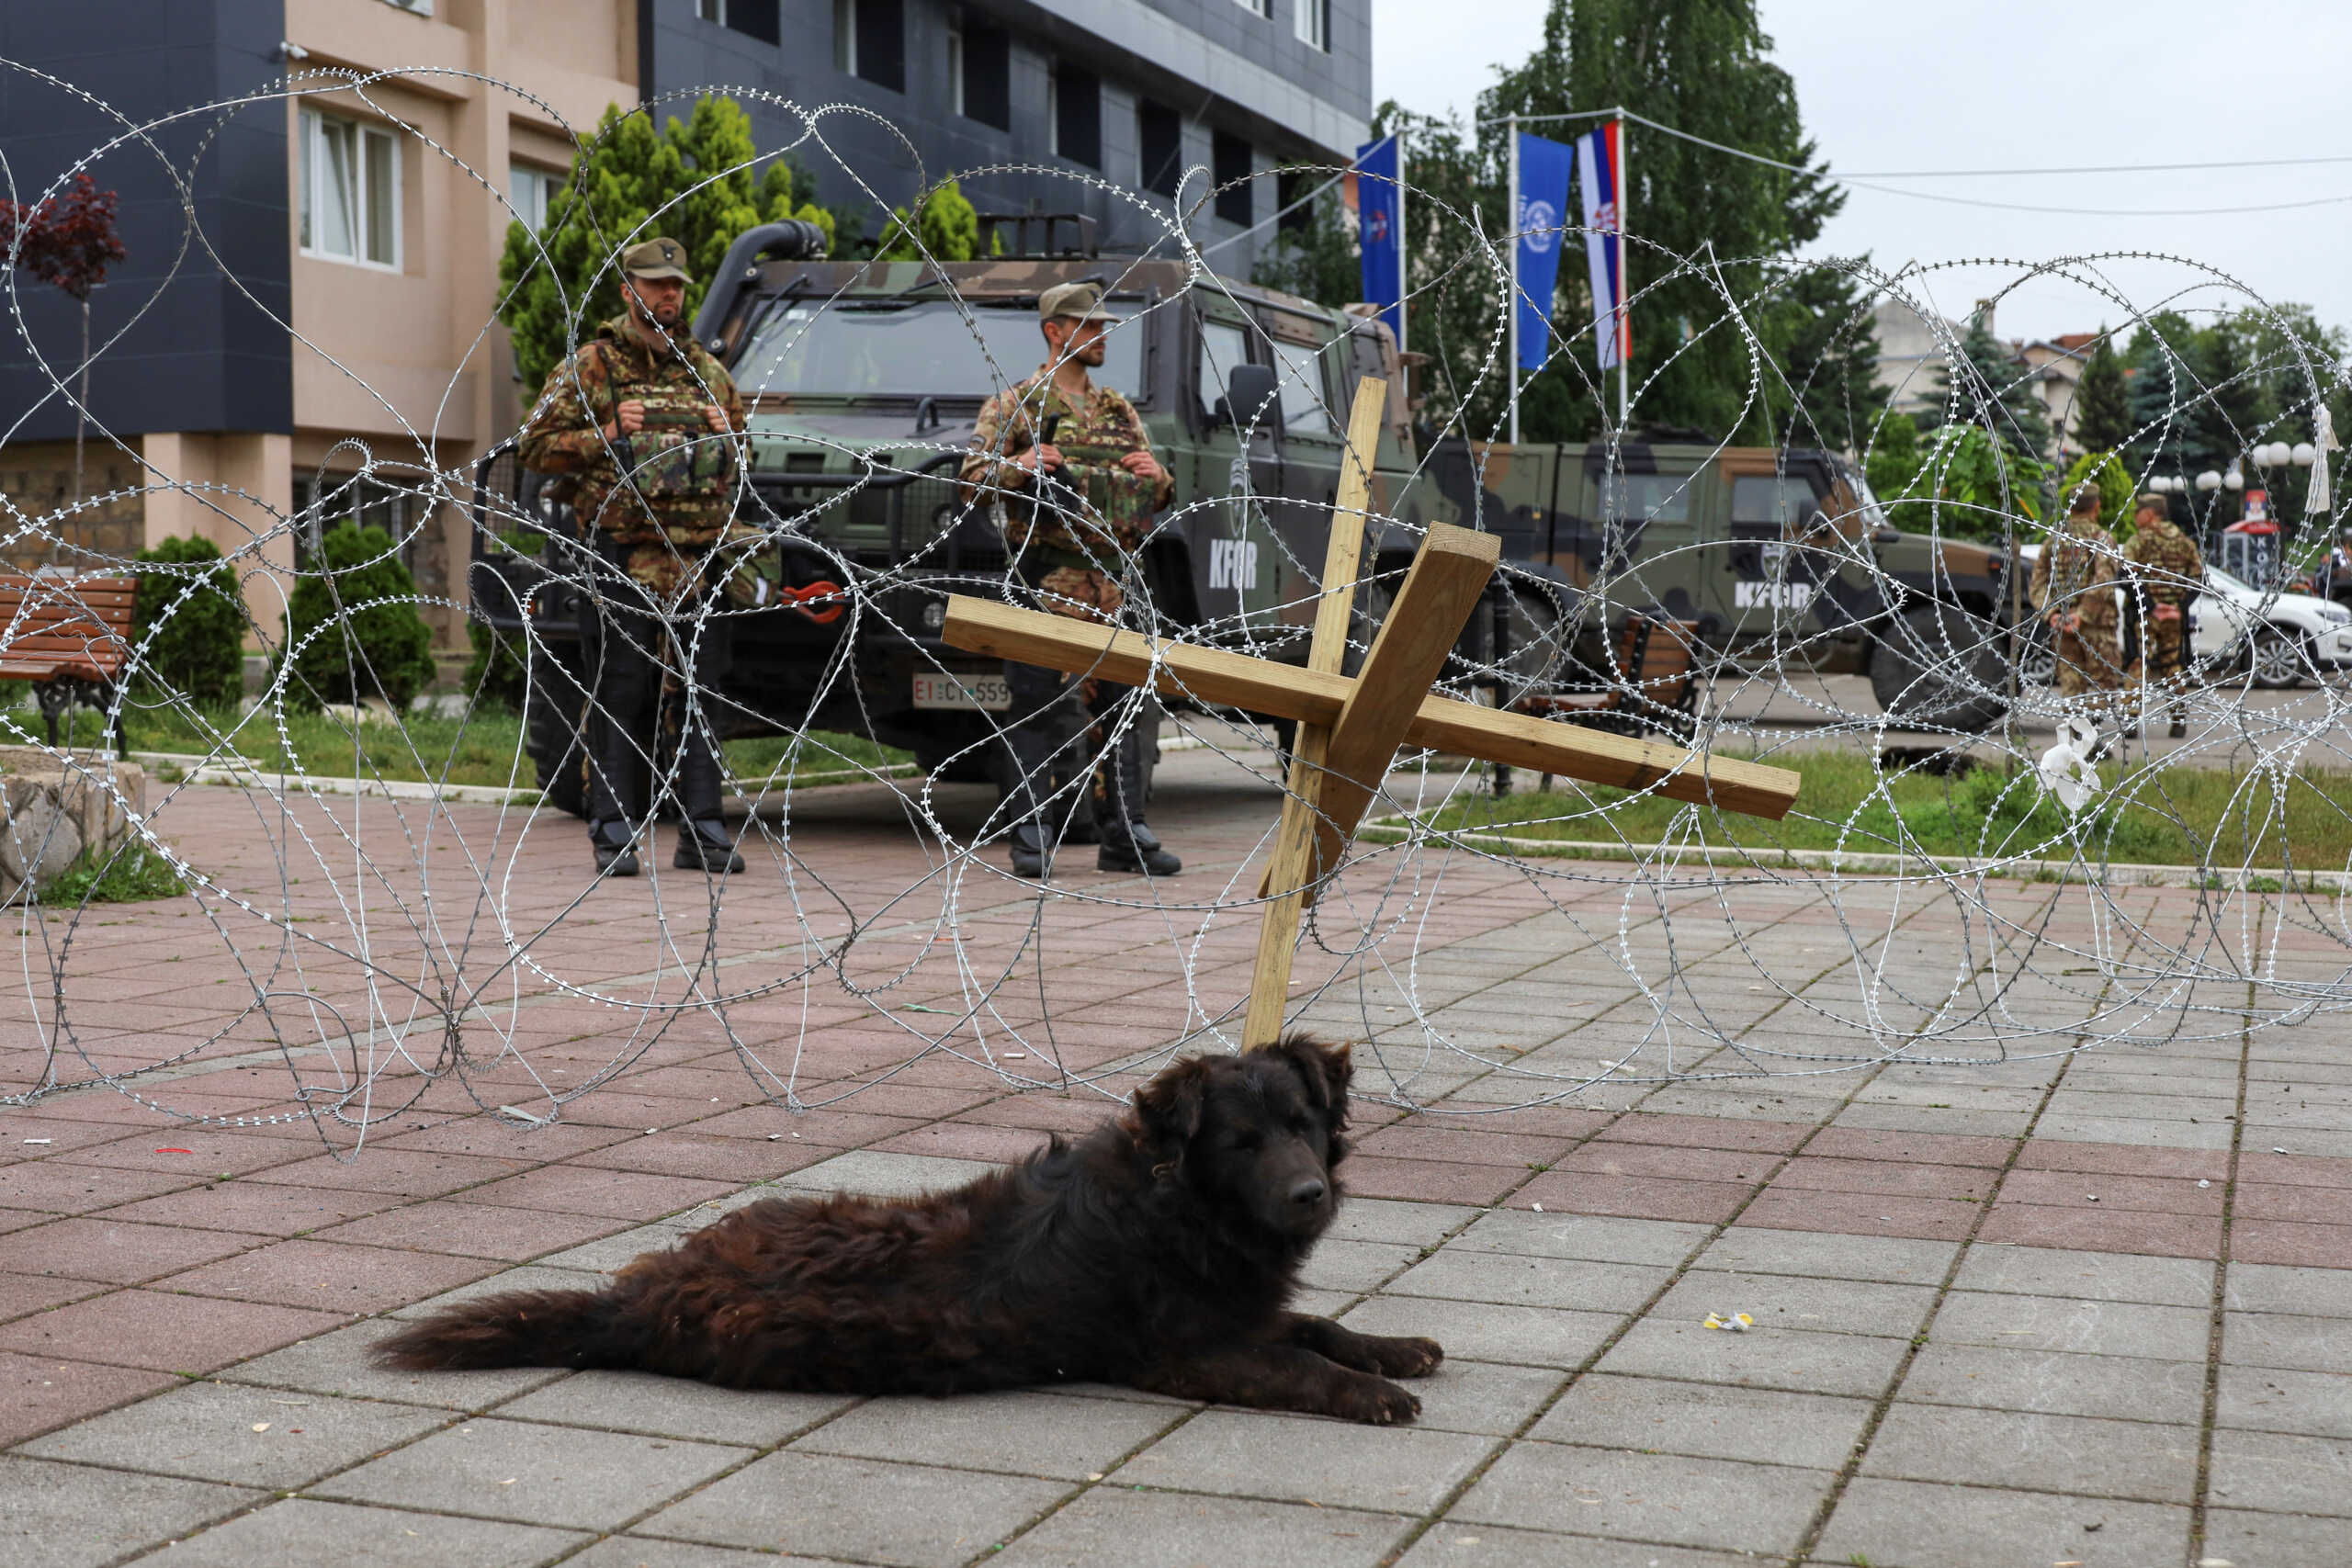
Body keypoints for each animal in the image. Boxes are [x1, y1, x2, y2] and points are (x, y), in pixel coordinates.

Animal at [376, 1034, 1439, 1429]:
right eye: (1241, 1141)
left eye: (1303, 1123)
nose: (1309, 1195)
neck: (1173, 1200)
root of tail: (629, 1301)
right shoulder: (1188, 1350)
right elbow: (1294, 1358)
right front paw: (1370, 1390)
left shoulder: (1238, 1310)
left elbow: (1315, 1324)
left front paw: (1392, 1346)